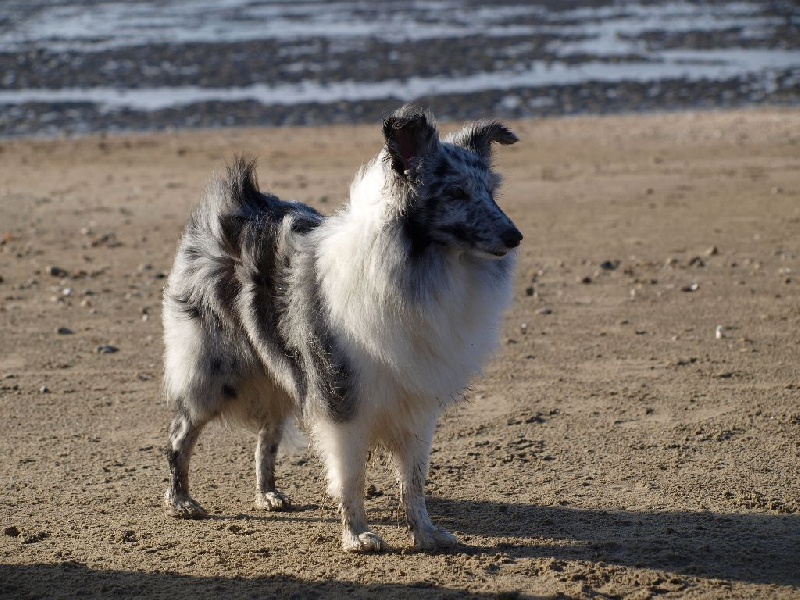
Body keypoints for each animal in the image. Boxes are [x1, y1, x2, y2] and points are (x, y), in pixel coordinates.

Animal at [162, 104, 520, 552]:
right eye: (455, 193)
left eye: (490, 192)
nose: (515, 236)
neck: (424, 267)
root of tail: (239, 201)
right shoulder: (343, 400)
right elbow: (351, 478)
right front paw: (358, 535)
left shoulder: (416, 406)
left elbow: (414, 481)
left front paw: (425, 533)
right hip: (214, 376)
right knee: (180, 436)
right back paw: (181, 500)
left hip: (279, 375)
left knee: (266, 438)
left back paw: (268, 493)